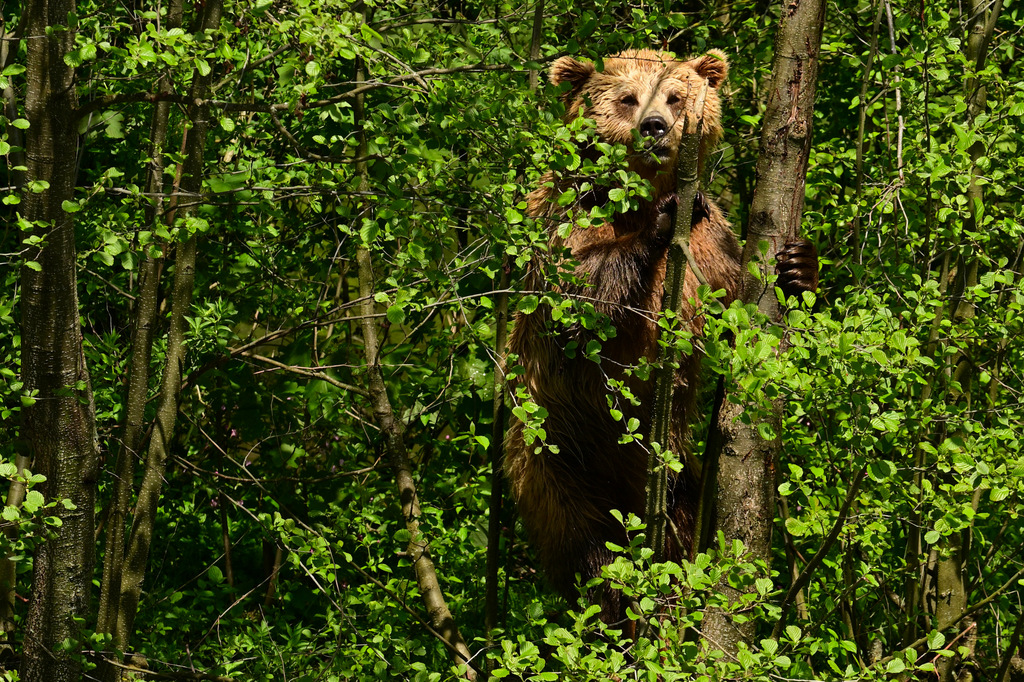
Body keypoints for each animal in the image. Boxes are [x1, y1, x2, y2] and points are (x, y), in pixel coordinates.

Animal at [503, 49, 815, 626]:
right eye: (628, 97)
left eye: (675, 95)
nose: (656, 126)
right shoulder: (566, 216)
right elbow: (575, 293)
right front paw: (660, 223)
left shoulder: (714, 246)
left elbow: (738, 302)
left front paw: (799, 267)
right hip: (557, 457)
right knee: (592, 549)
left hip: (675, 474)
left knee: (679, 526)